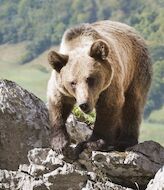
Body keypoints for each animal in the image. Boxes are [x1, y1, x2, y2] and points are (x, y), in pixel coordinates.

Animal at [46, 20, 152, 157]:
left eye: (90, 78)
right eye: (73, 83)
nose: (84, 104)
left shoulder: (110, 83)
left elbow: (108, 106)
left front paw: (93, 142)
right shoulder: (60, 86)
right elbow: (58, 105)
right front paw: (59, 143)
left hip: (136, 69)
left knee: (132, 104)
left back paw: (124, 141)